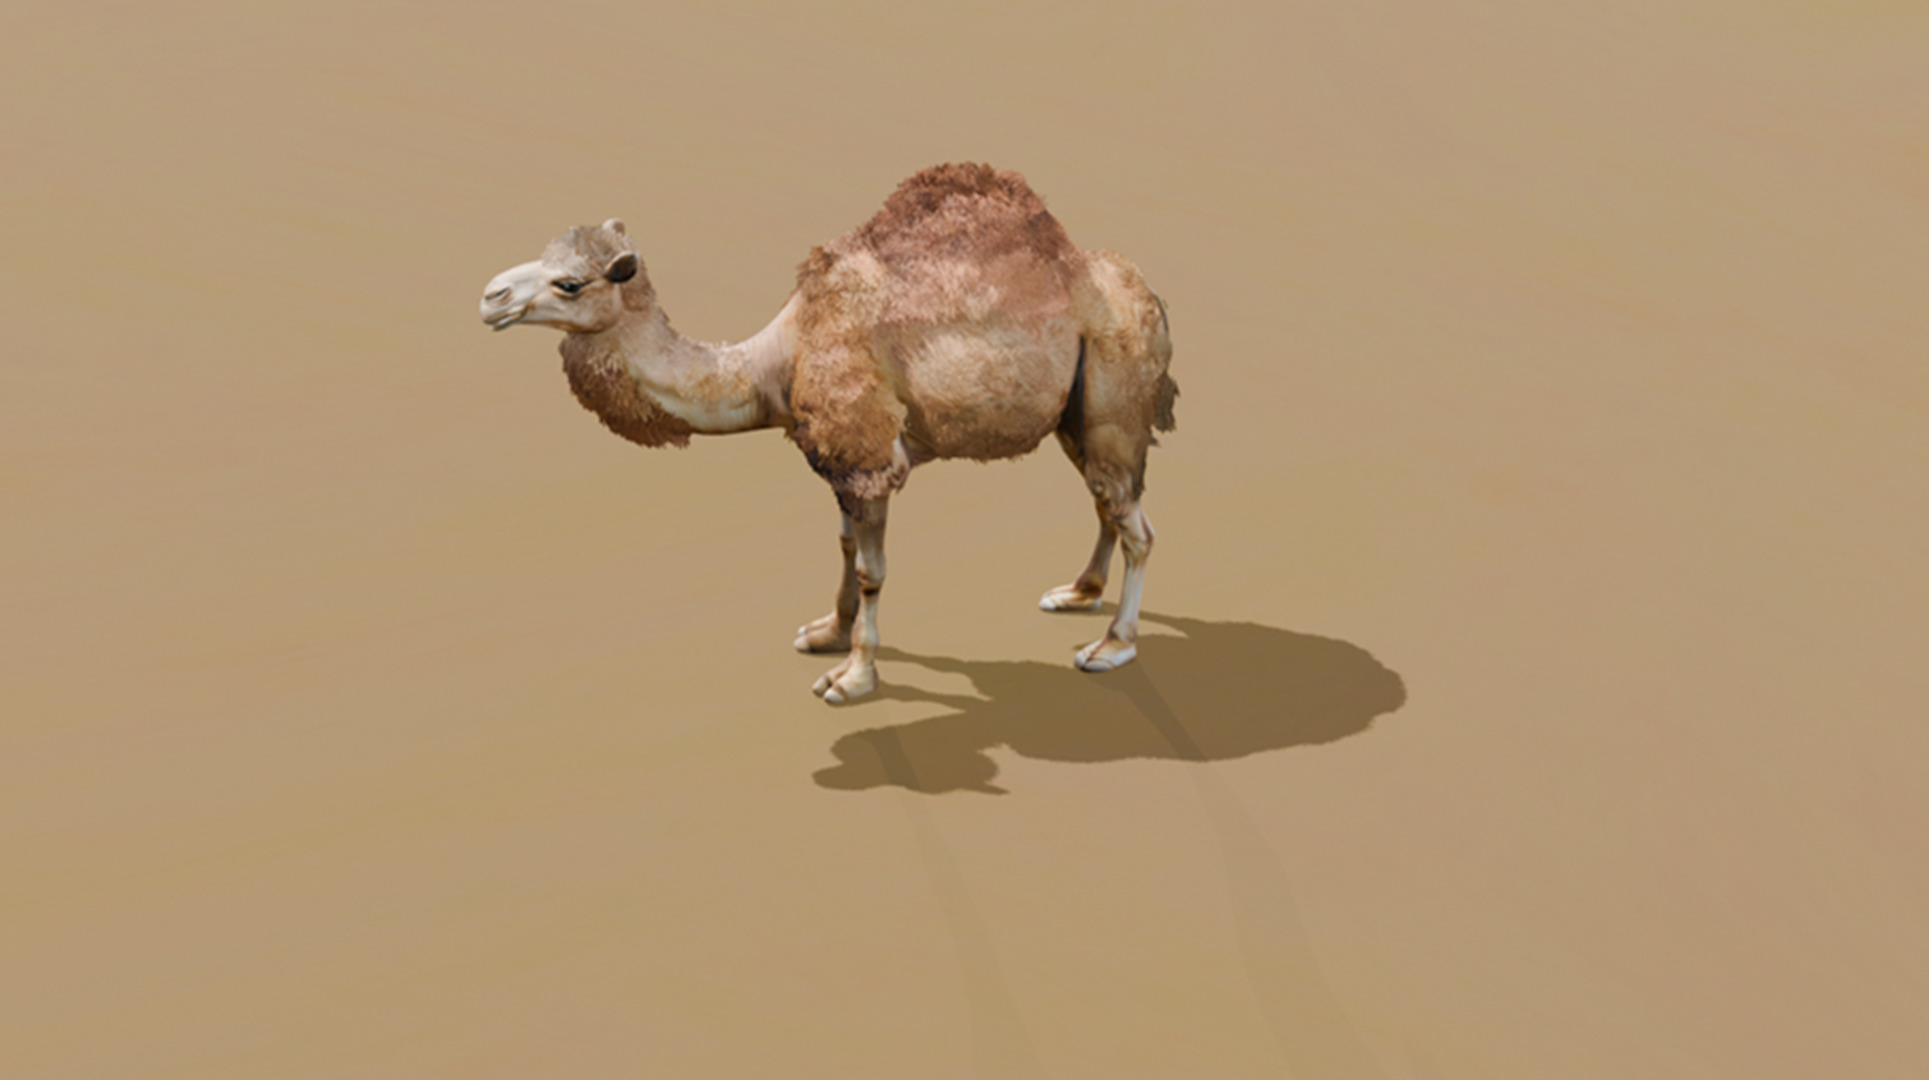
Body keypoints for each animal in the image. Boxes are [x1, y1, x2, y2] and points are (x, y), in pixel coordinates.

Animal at [479, 163, 1176, 703]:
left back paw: (1111, 646)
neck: (777, 359)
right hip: (1075, 413)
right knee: (1106, 499)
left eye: (571, 283)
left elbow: (871, 570)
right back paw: (1078, 594)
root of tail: (1144, 291)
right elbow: (842, 546)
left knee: (1135, 522)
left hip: (1115, 379)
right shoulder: (834, 459)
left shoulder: (868, 456)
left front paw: (852, 677)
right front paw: (826, 635)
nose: (490, 295)